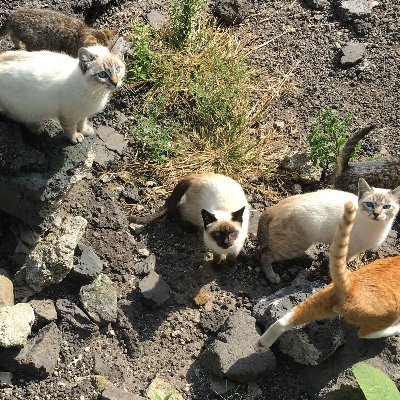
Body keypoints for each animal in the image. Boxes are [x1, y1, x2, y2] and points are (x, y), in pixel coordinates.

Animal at [256, 177, 400, 282]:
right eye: (369, 204)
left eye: (386, 206)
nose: (376, 214)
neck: (376, 228)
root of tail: (272, 209)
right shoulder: (346, 246)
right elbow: (341, 262)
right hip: (293, 246)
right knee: (265, 256)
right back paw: (273, 277)